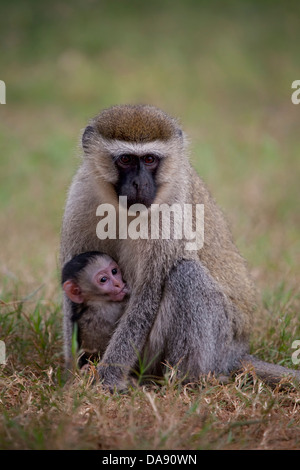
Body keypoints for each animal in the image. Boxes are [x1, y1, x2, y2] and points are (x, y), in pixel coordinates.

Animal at [59, 104, 298, 388]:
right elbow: (70, 287)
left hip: (218, 346)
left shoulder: (169, 213)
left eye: (150, 160)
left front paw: (108, 379)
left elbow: (147, 295)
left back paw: (183, 381)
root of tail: (237, 353)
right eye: (126, 159)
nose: (140, 184)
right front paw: (72, 374)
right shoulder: (81, 195)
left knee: (186, 273)